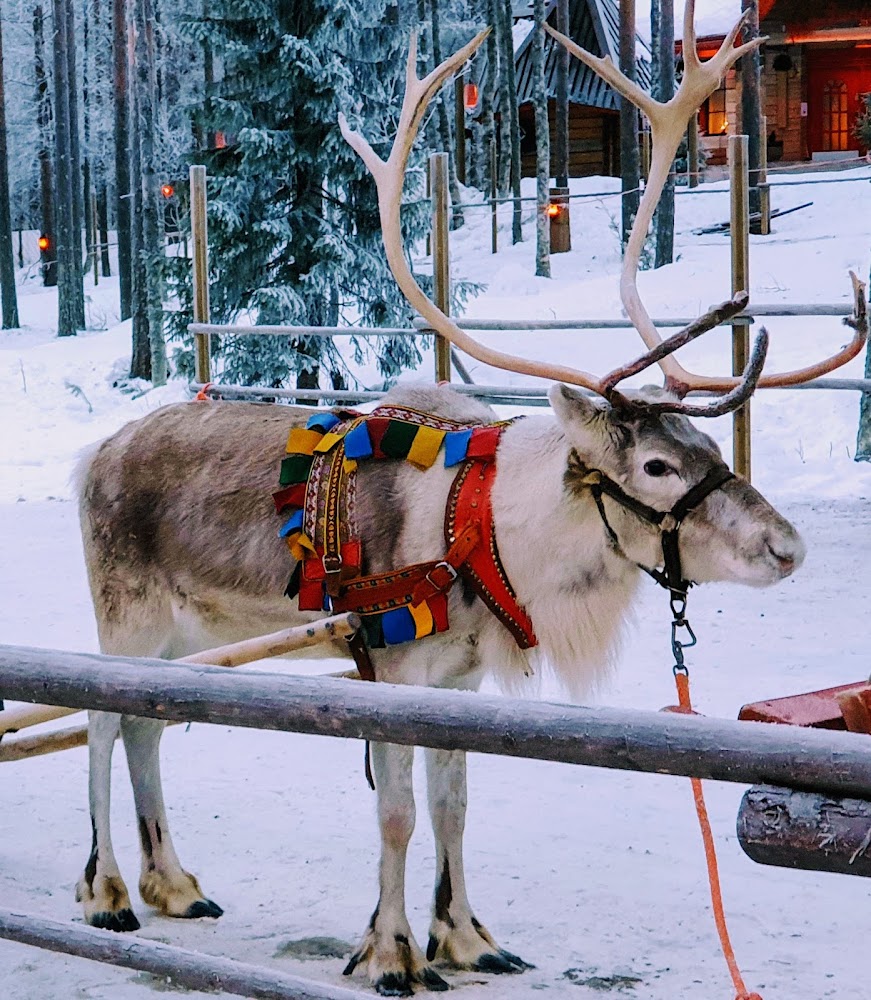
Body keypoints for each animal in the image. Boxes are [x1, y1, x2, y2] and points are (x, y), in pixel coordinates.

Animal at [73, 3, 866, 996]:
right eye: (654, 466)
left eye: (710, 447)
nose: (787, 547)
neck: (481, 529)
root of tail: (96, 455)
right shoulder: (392, 672)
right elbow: (398, 815)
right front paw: (390, 952)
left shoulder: (461, 676)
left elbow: (453, 803)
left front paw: (464, 938)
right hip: (127, 616)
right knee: (101, 721)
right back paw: (107, 892)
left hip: (186, 639)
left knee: (146, 727)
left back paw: (174, 884)